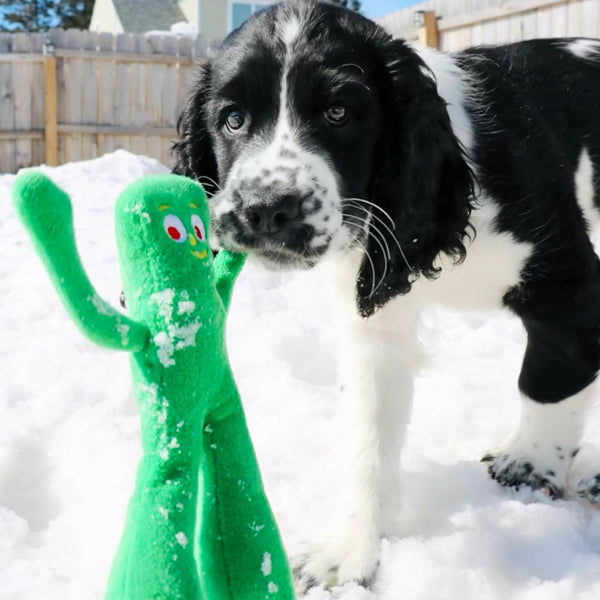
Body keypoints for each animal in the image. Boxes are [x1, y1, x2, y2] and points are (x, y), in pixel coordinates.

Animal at [172, 0, 600, 592]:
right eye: (232, 119)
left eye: (339, 113)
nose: (267, 209)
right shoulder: (374, 323)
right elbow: (368, 435)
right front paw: (348, 555)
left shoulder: (570, 287)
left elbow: (547, 380)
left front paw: (529, 464)